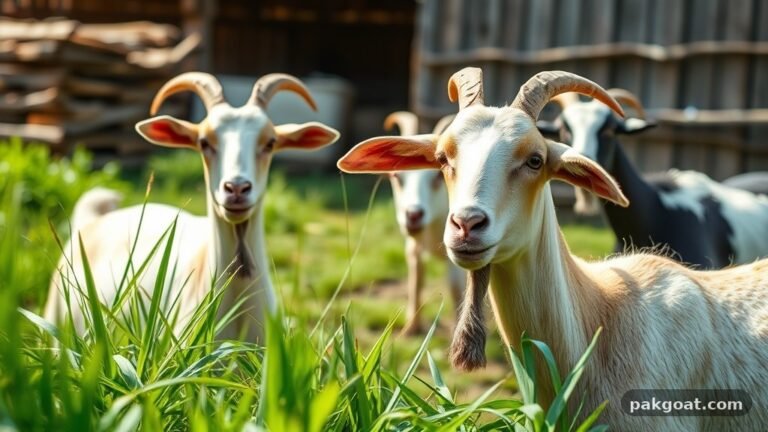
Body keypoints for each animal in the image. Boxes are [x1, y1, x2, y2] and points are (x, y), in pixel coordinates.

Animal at [383, 111, 464, 334]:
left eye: (438, 175)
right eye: (396, 176)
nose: (413, 214)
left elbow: (456, 287)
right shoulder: (413, 246)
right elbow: (416, 279)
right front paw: (411, 328)